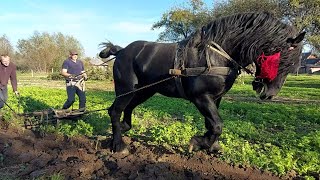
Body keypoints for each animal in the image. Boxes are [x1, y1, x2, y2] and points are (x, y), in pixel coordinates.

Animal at [99, 11, 304, 153]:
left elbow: (211, 124)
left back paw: (123, 129)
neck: (216, 55)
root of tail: (121, 50)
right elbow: (217, 125)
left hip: (143, 91)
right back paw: (118, 145)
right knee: (115, 111)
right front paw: (198, 143)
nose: (269, 94)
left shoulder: (215, 98)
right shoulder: (201, 98)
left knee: (126, 109)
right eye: (283, 61)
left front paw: (211, 147)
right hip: (126, 89)